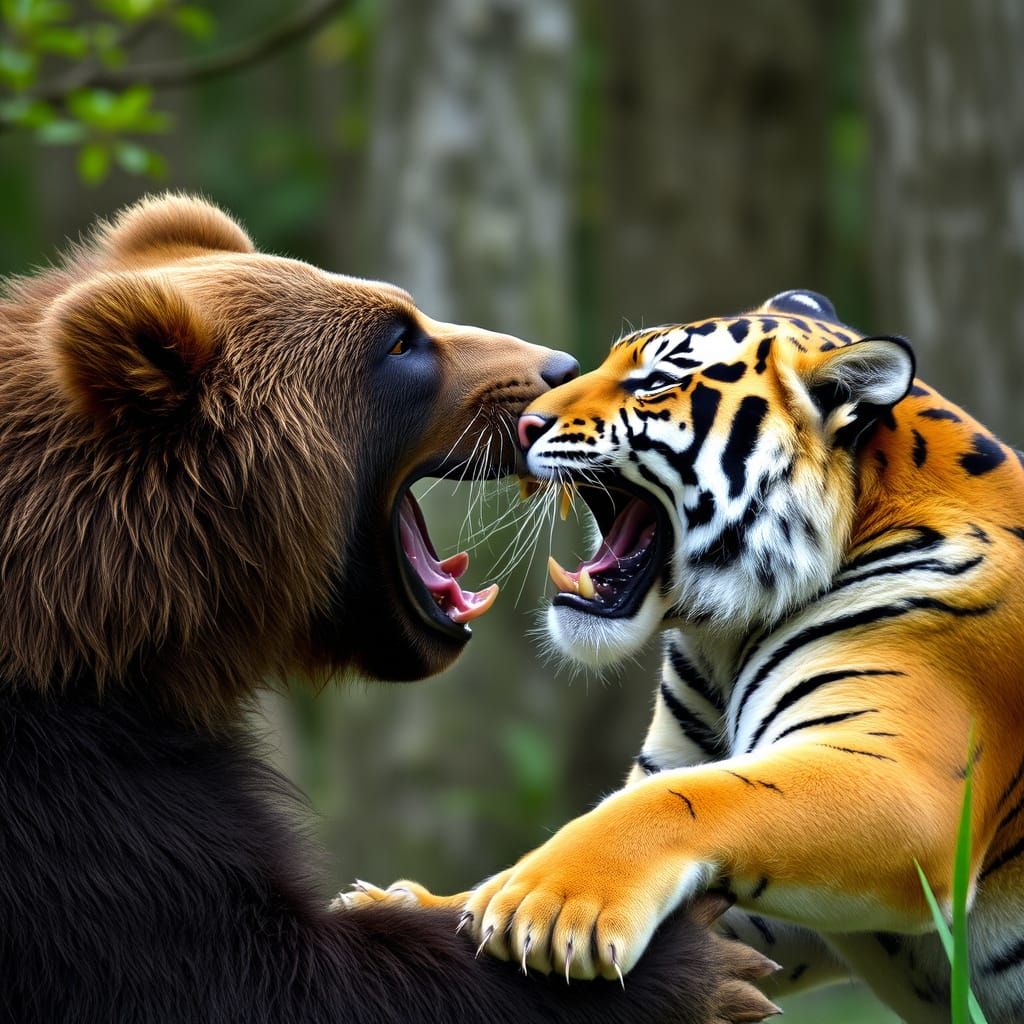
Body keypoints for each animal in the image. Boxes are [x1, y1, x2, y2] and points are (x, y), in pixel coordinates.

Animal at [0, 194, 777, 1023]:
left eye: (409, 315)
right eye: (401, 343)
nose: (557, 369)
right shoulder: (82, 798)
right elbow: (258, 970)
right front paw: (699, 965)